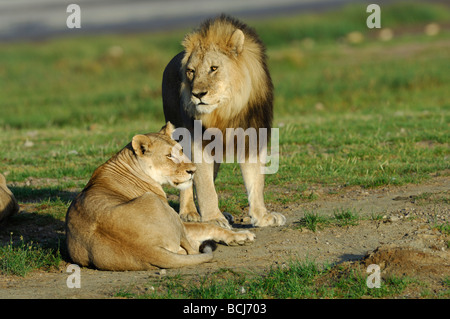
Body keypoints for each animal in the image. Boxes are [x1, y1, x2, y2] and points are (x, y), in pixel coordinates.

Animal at [64, 124, 253, 272]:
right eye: (169, 156)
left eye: (182, 150)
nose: (193, 170)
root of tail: (145, 248)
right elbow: (208, 226)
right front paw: (240, 235)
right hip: (158, 205)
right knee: (192, 249)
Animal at [163, 15, 286, 229]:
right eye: (191, 71)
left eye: (214, 68)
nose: (197, 94)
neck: (226, 111)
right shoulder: (198, 143)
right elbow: (206, 188)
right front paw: (213, 219)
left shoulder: (253, 137)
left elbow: (256, 181)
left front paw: (263, 216)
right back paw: (189, 213)